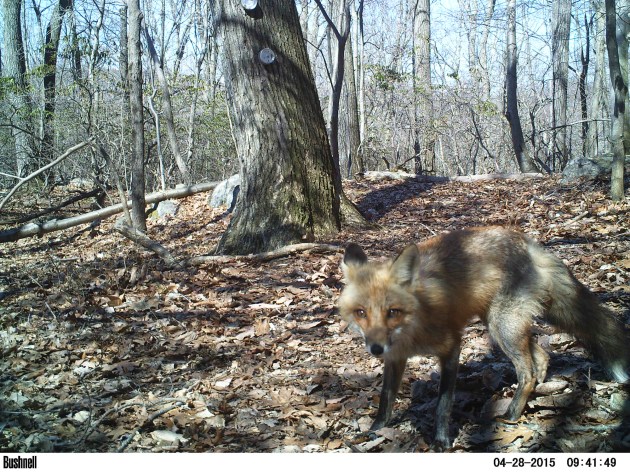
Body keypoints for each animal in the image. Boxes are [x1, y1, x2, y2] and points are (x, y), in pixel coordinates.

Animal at [340, 227, 630, 448]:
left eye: (393, 312)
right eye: (361, 312)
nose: (376, 348)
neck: (413, 326)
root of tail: (526, 241)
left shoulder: (451, 347)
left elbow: (443, 404)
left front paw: (442, 440)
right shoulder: (395, 358)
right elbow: (385, 400)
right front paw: (375, 430)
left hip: (502, 327)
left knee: (526, 371)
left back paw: (512, 414)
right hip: (501, 324)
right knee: (540, 356)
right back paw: (539, 389)